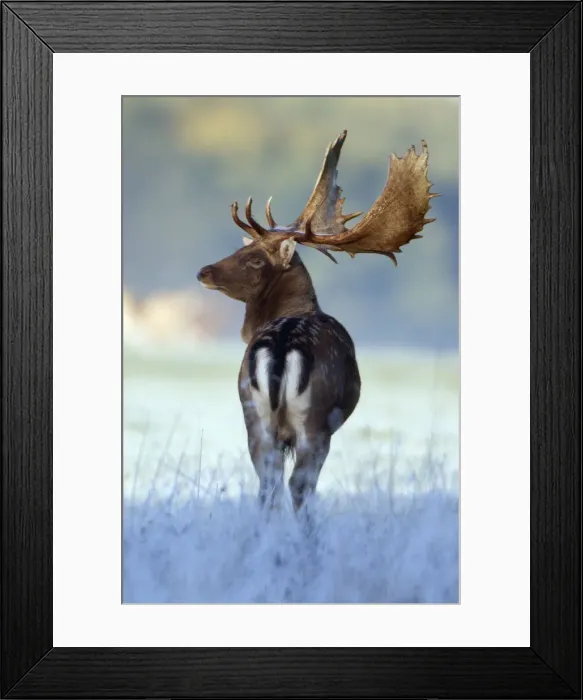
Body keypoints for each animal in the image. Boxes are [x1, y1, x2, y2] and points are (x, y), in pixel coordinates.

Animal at [197, 130, 438, 514]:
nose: (204, 272)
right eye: (240, 251)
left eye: (253, 259)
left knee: (268, 484)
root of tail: (281, 347)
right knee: (299, 484)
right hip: (315, 421)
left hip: (254, 414)